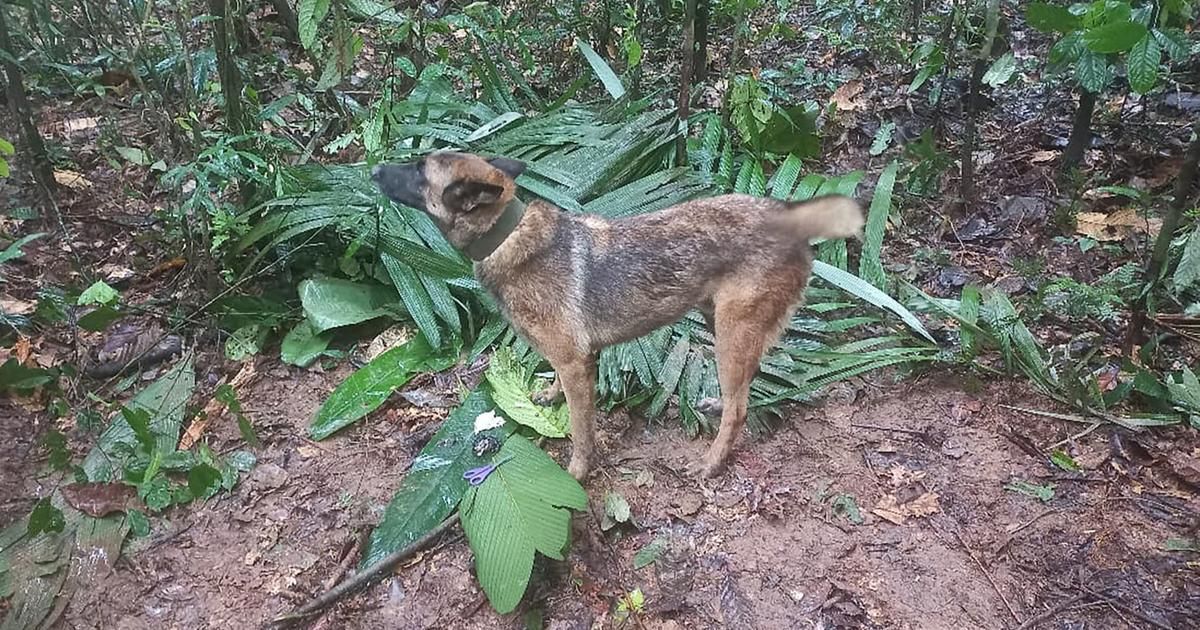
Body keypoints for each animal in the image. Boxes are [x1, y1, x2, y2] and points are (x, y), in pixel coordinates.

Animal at [372, 151, 864, 477]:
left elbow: (580, 429)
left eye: (418, 170)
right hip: (720, 323)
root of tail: (790, 217)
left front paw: (577, 472)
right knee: (745, 384)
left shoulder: (576, 363)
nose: (373, 168)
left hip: (731, 331)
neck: (507, 235)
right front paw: (549, 397)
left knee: (741, 408)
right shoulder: (570, 361)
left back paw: (711, 461)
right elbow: (559, 390)